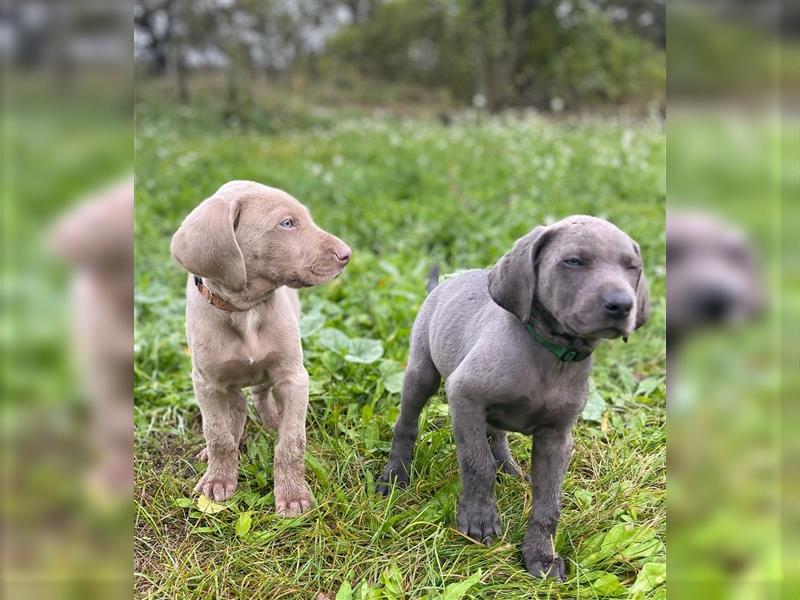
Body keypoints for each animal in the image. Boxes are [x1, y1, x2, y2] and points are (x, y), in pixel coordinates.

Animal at [376, 213, 648, 580]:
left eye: (633, 267)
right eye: (573, 261)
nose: (621, 305)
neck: (553, 356)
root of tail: (445, 283)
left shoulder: (556, 438)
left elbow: (549, 501)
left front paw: (541, 556)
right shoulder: (464, 396)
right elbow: (477, 464)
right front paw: (479, 520)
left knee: (496, 434)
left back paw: (508, 467)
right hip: (422, 373)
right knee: (407, 423)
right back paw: (395, 475)